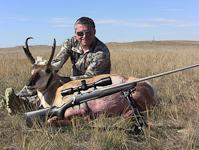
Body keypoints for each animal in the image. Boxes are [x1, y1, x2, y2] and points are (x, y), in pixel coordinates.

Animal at [23, 37, 158, 123]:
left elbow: (54, 120)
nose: (29, 84)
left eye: (47, 70)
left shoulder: (77, 108)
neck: (56, 90)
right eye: (32, 69)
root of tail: (150, 86)